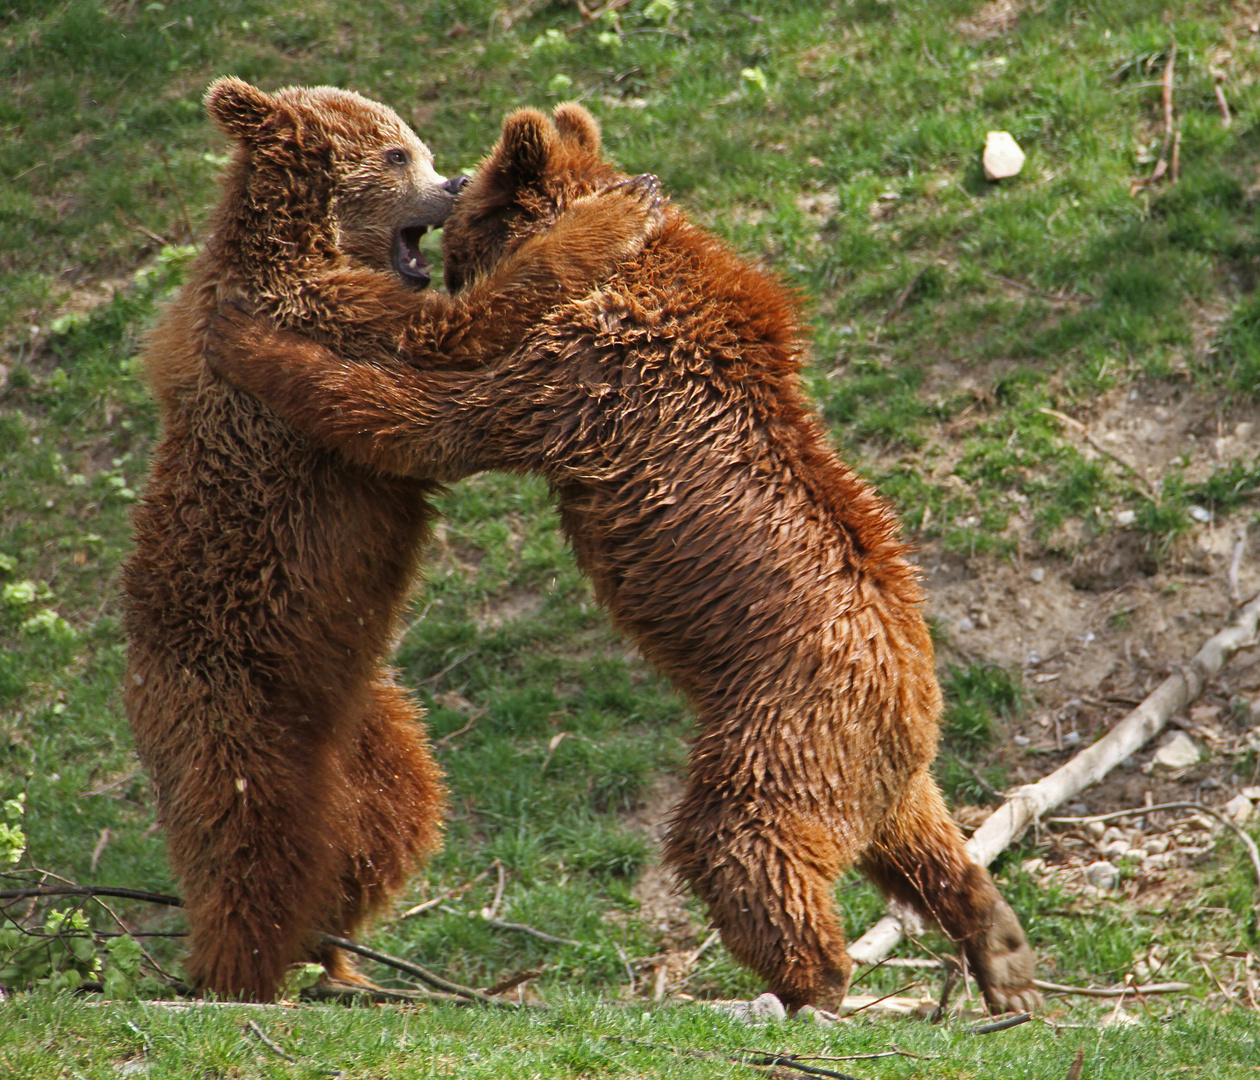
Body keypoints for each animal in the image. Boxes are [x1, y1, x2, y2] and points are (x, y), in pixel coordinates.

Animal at [122, 80, 665, 998]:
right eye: (396, 152)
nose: (452, 186)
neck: (314, 242)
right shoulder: (325, 312)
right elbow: (454, 333)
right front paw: (620, 210)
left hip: (367, 716)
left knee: (386, 826)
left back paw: (342, 962)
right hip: (232, 709)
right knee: (250, 848)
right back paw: (240, 974)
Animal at [201, 100, 1038, 1013]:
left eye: (463, 201)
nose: (451, 188)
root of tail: (916, 693)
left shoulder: (581, 369)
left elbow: (432, 418)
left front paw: (254, 344)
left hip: (786, 727)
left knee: (744, 843)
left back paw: (808, 982)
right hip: (873, 771)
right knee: (926, 846)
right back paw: (1002, 952)